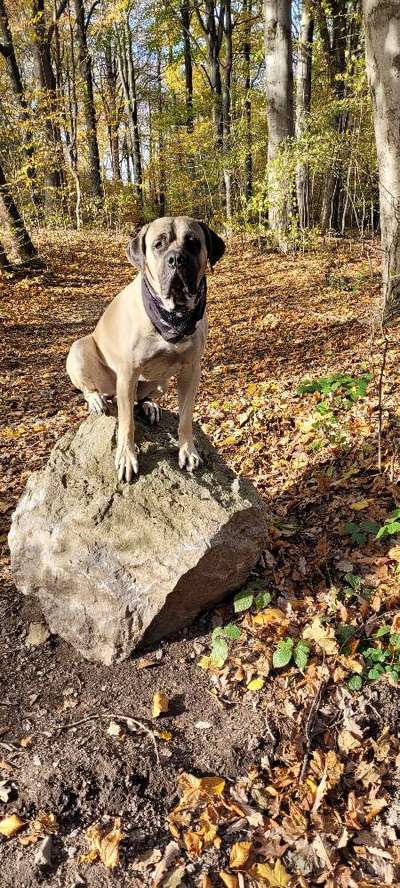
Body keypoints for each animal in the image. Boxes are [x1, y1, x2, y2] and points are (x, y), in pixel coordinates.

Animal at [67, 218, 227, 482]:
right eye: (158, 245)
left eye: (193, 242)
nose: (176, 259)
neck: (174, 316)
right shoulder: (128, 373)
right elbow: (127, 424)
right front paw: (126, 457)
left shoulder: (191, 370)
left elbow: (186, 416)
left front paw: (188, 451)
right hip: (80, 350)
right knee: (96, 390)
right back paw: (96, 399)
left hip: (161, 381)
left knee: (142, 397)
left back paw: (149, 405)